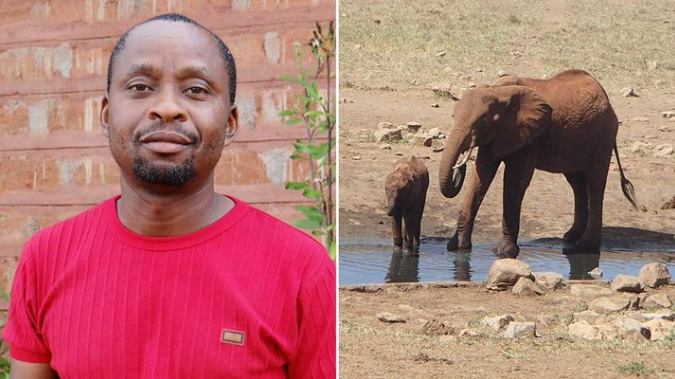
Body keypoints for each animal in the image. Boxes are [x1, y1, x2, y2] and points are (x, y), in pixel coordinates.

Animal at [440, 68, 640, 258]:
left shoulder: (530, 134)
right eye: (453, 116)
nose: (459, 167)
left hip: (603, 136)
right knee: (577, 183)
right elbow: (480, 176)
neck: (498, 91)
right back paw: (569, 237)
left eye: (482, 121)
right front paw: (458, 248)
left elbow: (515, 181)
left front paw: (503, 253)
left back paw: (585, 245)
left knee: (595, 183)